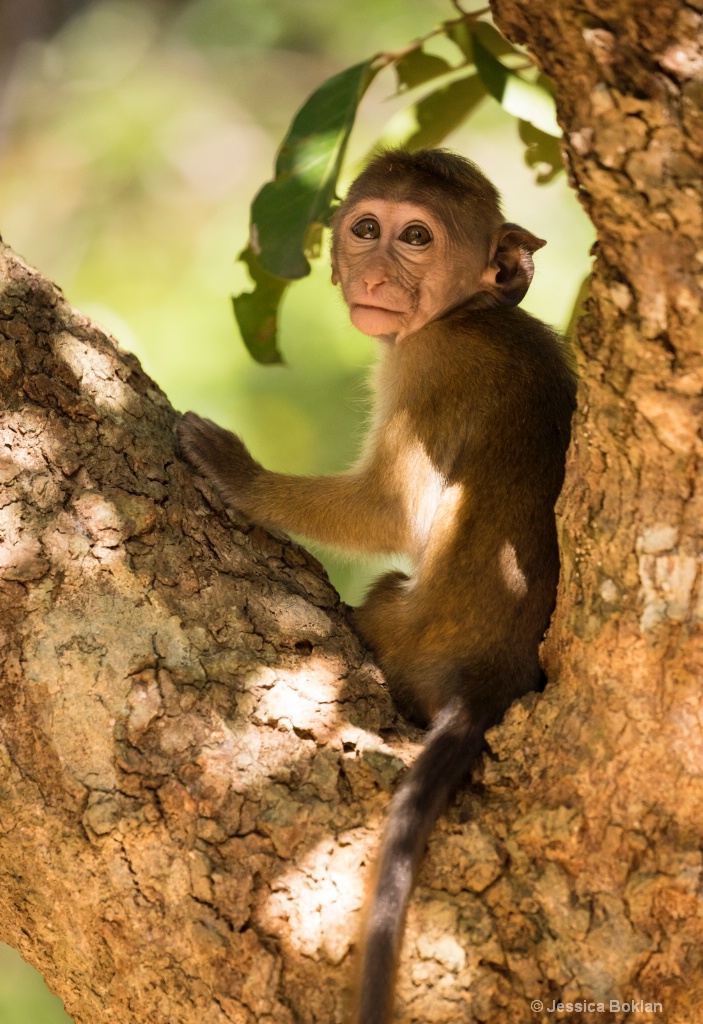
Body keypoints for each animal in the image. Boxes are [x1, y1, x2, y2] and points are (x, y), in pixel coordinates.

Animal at [180, 148, 577, 1024]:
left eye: (415, 237)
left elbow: (391, 512)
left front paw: (238, 476)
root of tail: (486, 676)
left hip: (401, 635)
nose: (373, 272)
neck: (467, 312)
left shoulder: (425, 366)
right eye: (367, 227)